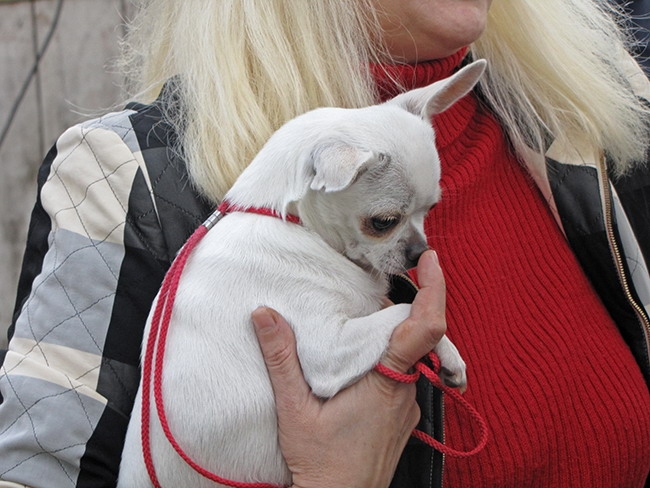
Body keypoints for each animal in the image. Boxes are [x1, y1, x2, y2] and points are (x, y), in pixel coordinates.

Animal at [118, 59, 486, 487]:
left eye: (430, 211)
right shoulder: (328, 351)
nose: (419, 252)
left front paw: (450, 358)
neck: (293, 222)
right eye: (383, 223)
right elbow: (405, 310)